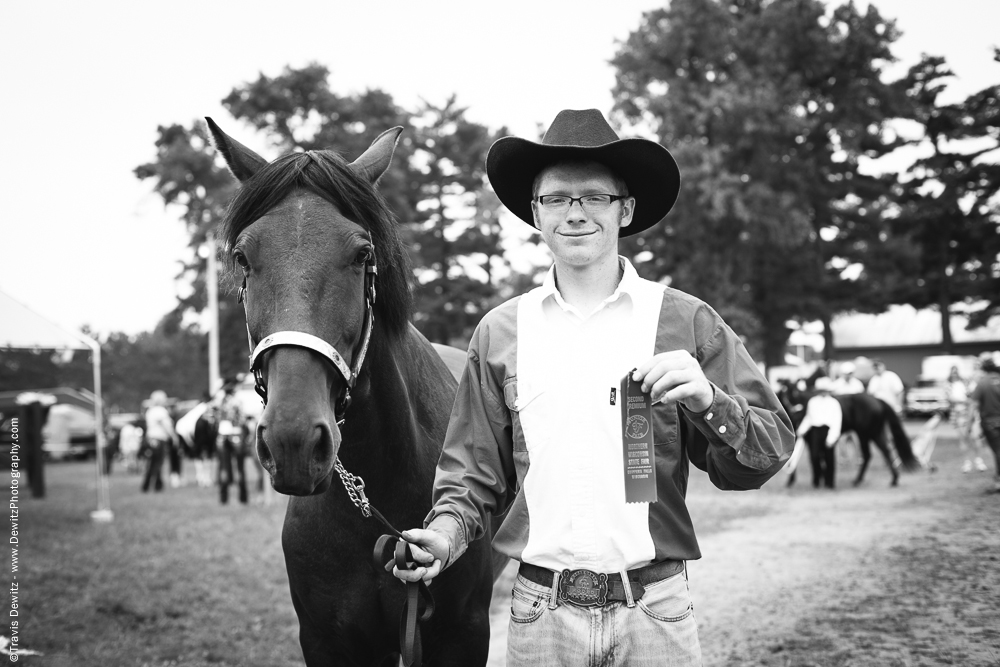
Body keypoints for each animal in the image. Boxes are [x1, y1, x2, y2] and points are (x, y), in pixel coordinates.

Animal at [780, 384, 920, 488]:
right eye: (784, 399)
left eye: (794, 397)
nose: (793, 419)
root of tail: (877, 400)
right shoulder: (809, 438)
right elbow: (813, 456)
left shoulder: (809, 437)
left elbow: (814, 457)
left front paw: (816, 480)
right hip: (875, 433)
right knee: (886, 451)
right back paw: (894, 480)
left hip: (864, 434)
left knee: (868, 455)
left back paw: (857, 480)